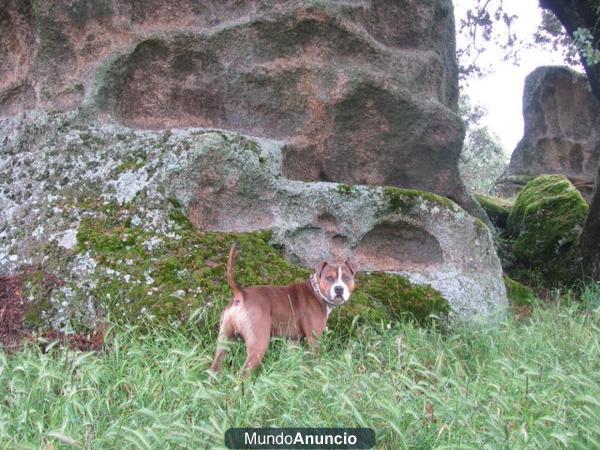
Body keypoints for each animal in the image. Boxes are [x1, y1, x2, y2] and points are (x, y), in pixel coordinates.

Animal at [212, 243, 356, 376]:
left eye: (346, 278)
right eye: (329, 278)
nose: (339, 288)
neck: (317, 291)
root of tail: (241, 294)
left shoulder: (293, 341)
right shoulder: (314, 338)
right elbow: (315, 360)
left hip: (224, 341)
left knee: (215, 367)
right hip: (258, 344)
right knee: (243, 374)